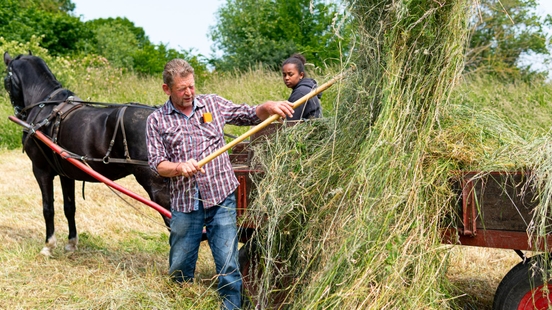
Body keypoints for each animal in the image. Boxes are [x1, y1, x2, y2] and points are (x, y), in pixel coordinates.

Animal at [3, 53, 170, 256]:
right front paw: (71, 243)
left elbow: (48, 208)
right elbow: (69, 207)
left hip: (156, 184)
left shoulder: (40, 170)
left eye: (5, 79)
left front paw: (48, 246)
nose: (19, 113)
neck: (45, 106)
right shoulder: (66, 173)